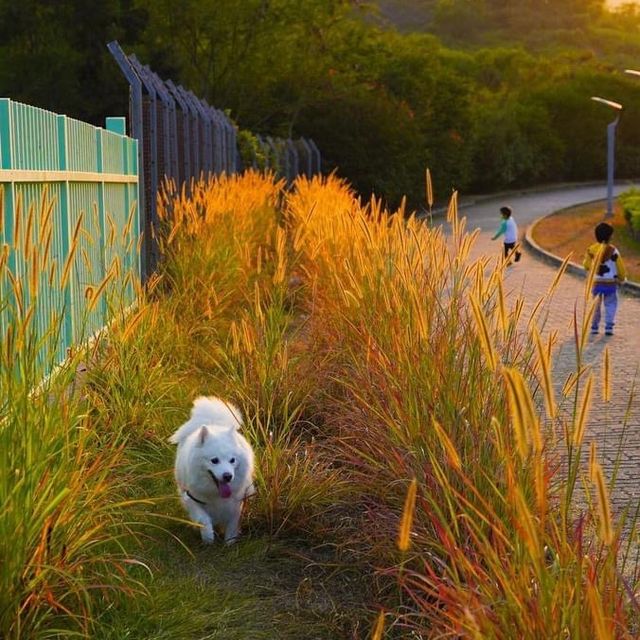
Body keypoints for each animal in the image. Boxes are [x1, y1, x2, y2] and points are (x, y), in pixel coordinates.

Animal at [170, 398, 255, 544]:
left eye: (232, 460)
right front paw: (208, 537)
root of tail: (213, 422)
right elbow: (204, 519)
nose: (227, 476)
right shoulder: (191, 498)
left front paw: (230, 541)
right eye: (214, 460)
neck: (216, 493)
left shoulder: (236, 502)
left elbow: (233, 522)